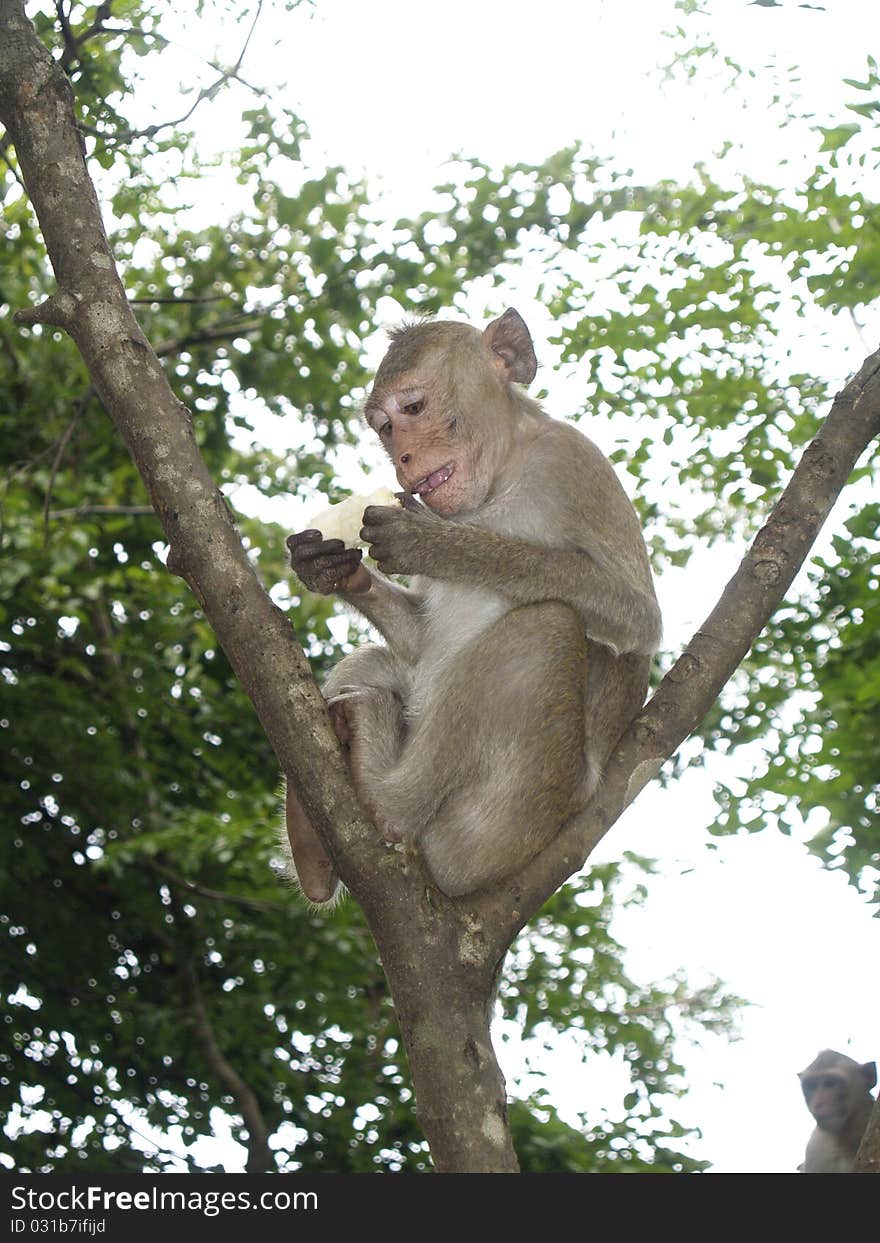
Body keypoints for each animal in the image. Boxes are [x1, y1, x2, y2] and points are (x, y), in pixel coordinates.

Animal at [283, 308, 661, 904]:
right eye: (384, 427)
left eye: (414, 409)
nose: (403, 457)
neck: (501, 481)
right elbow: (418, 640)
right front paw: (333, 569)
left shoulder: (575, 464)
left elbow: (636, 617)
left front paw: (436, 544)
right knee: (375, 663)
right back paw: (312, 845)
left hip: (501, 825)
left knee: (546, 629)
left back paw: (389, 803)